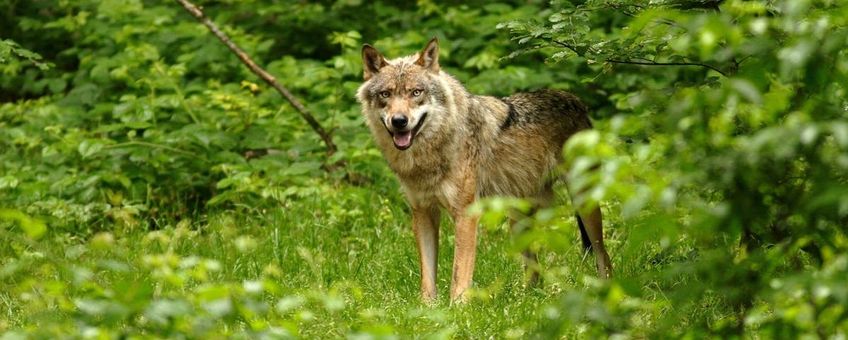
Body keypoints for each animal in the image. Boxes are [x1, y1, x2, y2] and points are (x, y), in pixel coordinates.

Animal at [354, 37, 612, 302]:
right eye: (386, 94)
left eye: (416, 92)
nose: (399, 121)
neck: (430, 156)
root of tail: (576, 101)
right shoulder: (423, 213)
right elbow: (427, 276)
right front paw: (427, 307)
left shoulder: (466, 214)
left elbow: (459, 274)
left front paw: (457, 307)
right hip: (517, 221)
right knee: (534, 272)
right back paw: (526, 300)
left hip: (584, 204)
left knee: (604, 256)